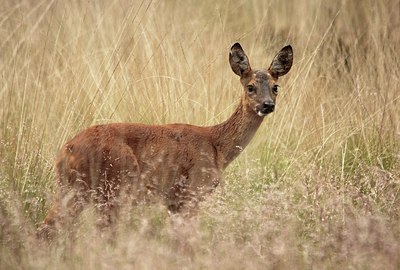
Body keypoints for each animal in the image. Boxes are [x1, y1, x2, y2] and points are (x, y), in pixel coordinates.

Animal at [39, 42, 292, 236]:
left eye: (275, 86)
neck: (218, 147)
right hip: (114, 187)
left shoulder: (173, 202)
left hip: (73, 190)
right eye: (250, 87)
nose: (267, 105)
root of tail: (65, 152)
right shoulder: (191, 192)